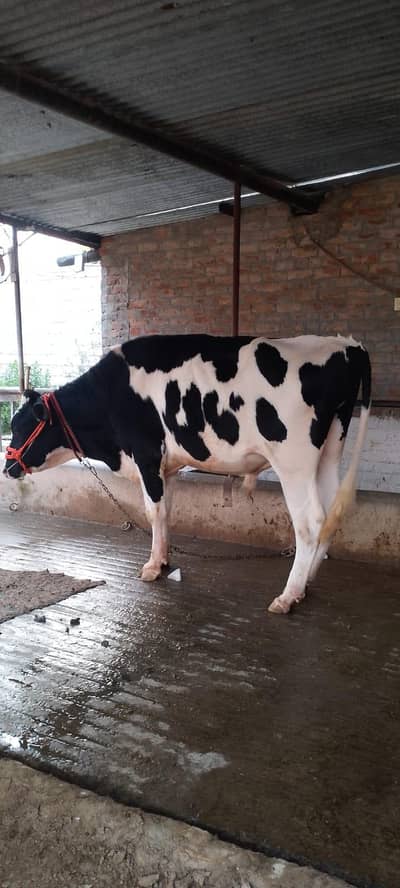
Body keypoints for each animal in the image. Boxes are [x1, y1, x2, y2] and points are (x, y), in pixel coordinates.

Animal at [3, 334, 371, 614]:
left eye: (21, 425)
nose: (7, 467)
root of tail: (346, 345)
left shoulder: (147, 454)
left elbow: (153, 511)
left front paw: (152, 567)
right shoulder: (167, 466)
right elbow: (166, 511)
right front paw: (164, 561)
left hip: (294, 460)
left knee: (310, 522)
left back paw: (288, 595)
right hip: (329, 451)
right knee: (330, 514)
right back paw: (306, 583)